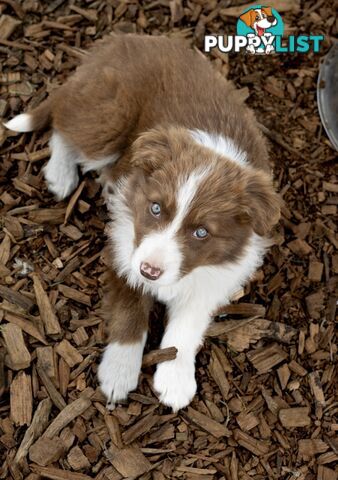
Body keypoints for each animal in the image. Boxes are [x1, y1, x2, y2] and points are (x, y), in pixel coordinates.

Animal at [4, 33, 280, 410]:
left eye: (201, 232)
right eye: (156, 209)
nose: (151, 271)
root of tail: (119, 40)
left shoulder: (213, 276)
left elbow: (187, 325)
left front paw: (175, 378)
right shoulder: (127, 249)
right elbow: (130, 308)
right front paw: (119, 372)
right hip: (108, 117)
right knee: (64, 126)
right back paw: (61, 175)